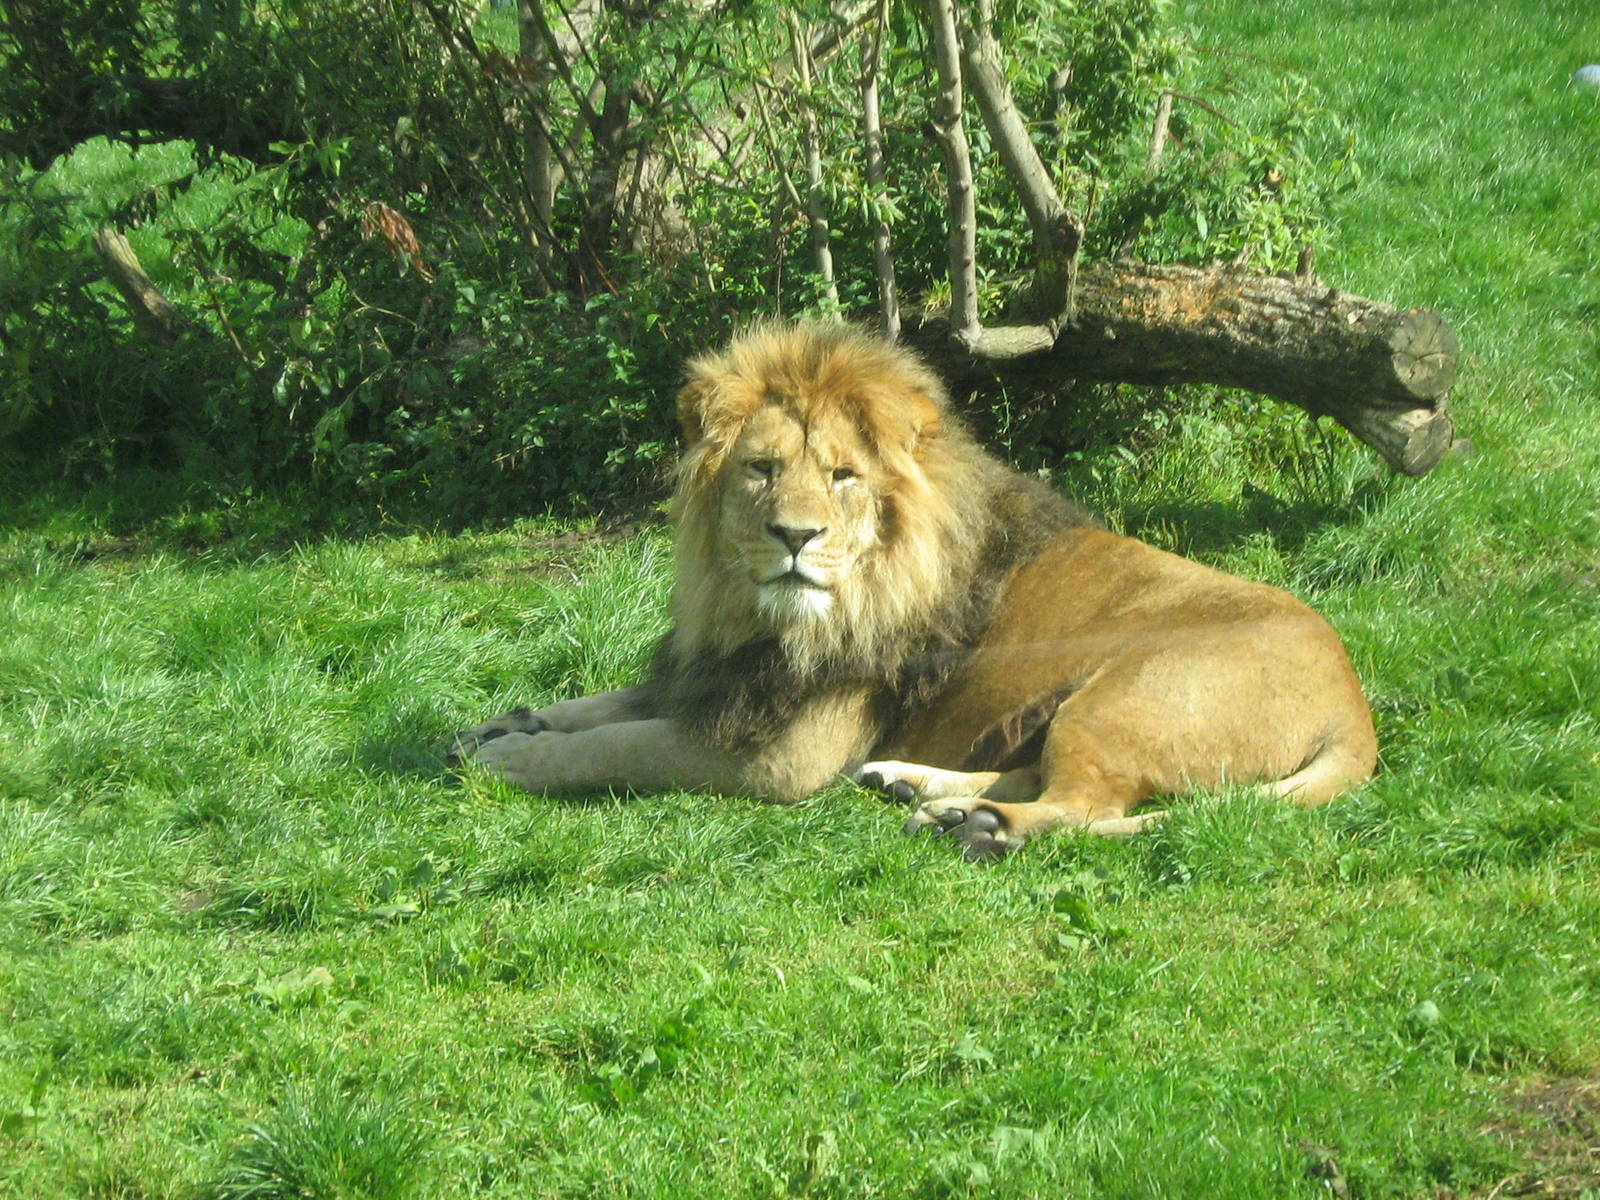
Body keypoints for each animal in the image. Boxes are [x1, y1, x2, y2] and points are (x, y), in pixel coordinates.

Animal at [452, 321, 1377, 859]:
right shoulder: (717, 674)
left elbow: (617, 745)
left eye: (842, 476)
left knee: (1084, 802)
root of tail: (1356, 710)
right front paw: (503, 723)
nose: (795, 537)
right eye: (762, 470)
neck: (763, 617)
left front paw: (511, 759)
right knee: (1039, 775)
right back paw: (922, 790)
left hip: (1123, 697)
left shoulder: (781, 757)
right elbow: (604, 705)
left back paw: (982, 828)